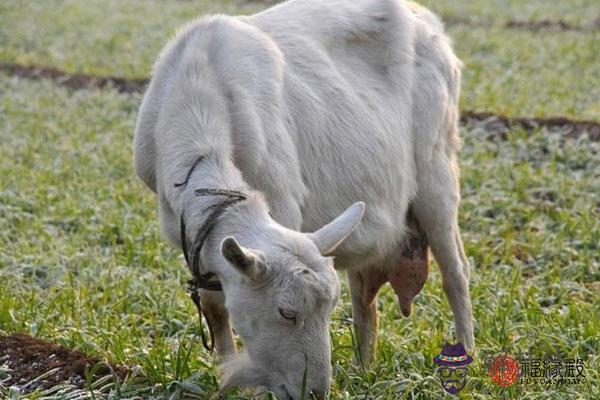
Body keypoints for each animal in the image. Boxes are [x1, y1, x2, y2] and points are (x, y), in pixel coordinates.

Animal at [135, 0, 474, 396]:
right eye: (286, 312)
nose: (315, 392)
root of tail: (429, 21)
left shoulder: (282, 203)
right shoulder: (191, 238)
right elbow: (215, 308)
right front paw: (231, 380)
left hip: (438, 169)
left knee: (455, 272)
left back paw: (468, 358)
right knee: (364, 293)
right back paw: (364, 366)